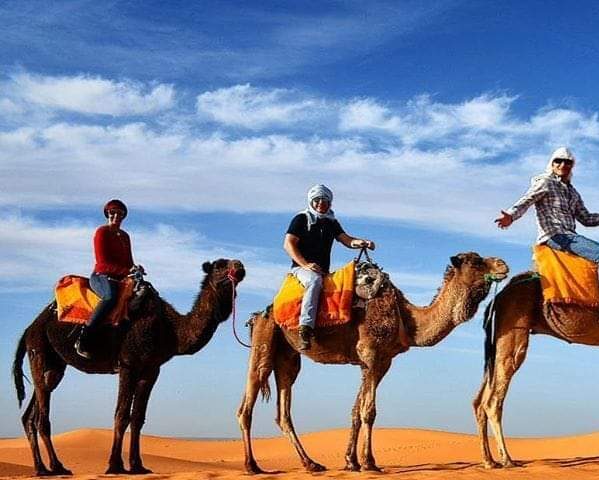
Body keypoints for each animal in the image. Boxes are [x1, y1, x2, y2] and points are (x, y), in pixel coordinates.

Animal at [11, 256, 244, 474]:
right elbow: (121, 414)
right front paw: (115, 465)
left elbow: (137, 417)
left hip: (55, 365)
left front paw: (138, 465)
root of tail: (28, 329)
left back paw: (43, 468)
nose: (240, 266)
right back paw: (55, 467)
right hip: (41, 351)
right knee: (42, 416)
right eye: (219, 265)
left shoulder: (151, 368)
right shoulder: (128, 364)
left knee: (31, 414)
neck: (170, 329)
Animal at [237, 251, 508, 472]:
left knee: (284, 411)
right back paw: (252, 466)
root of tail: (257, 315)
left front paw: (351, 462)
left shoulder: (380, 361)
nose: (502, 264)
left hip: (288, 357)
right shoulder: (371, 353)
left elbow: (356, 411)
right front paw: (369, 463)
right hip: (264, 343)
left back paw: (311, 464)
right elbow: (369, 411)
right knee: (247, 404)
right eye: (476, 261)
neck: (406, 319)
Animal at [474, 274, 599, 468]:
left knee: (480, 400)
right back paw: (507, 459)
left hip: (495, 345)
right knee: (493, 400)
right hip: (513, 331)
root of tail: (499, 297)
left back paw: (489, 461)